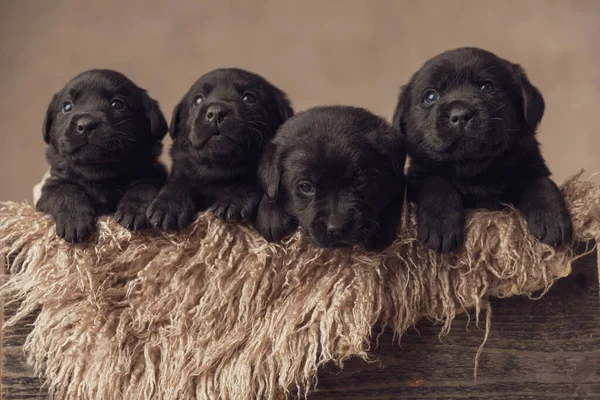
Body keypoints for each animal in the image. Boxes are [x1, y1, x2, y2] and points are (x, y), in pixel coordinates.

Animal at [37, 70, 169, 242]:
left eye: (118, 104)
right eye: (67, 106)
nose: (86, 124)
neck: (98, 172)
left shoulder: (154, 172)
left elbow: (145, 184)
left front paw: (134, 209)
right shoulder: (50, 188)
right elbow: (65, 191)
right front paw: (74, 220)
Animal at [148, 67, 292, 230]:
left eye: (249, 98)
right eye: (198, 100)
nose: (216, 112)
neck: (220, 170)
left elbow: (252, 184)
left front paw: (234, 200)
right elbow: (179, 182)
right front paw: (168, 205)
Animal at [255, 104, 406, 252]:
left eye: (359, 180)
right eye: (306, 187)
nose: (337, 228)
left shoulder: (398, 181)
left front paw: (380, 227)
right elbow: (271, 191)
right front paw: (271, 214)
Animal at [394, 47, 572, 253]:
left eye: (487, 87)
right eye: (430, 97)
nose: (460, 115)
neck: (475, 171)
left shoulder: (532, 166)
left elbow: (541, 183)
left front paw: (551, 219)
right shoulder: (418, 176)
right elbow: (435, 182)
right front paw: (440, 223)